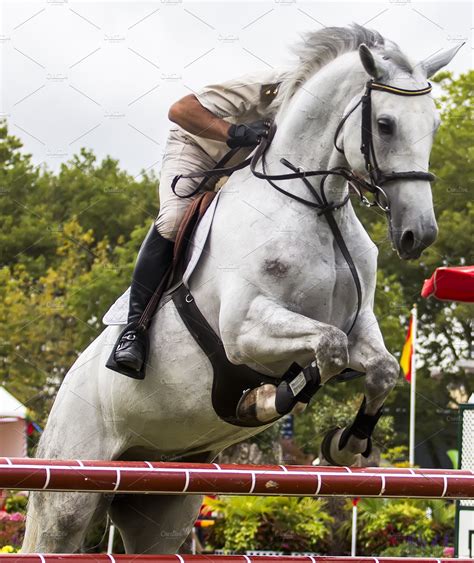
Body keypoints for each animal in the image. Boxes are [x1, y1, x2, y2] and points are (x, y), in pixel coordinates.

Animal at [22, 26, 460, 556]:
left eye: (434, 125)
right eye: (385, 123)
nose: (420, 234)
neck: (315, 205)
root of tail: (62, 391)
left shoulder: (359, 326)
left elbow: (379, 368)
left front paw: (347, 444)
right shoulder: (243, 329)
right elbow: (327, 348)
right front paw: (266, 400)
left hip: (163, 501)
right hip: (69, 492)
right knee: (53, 529)